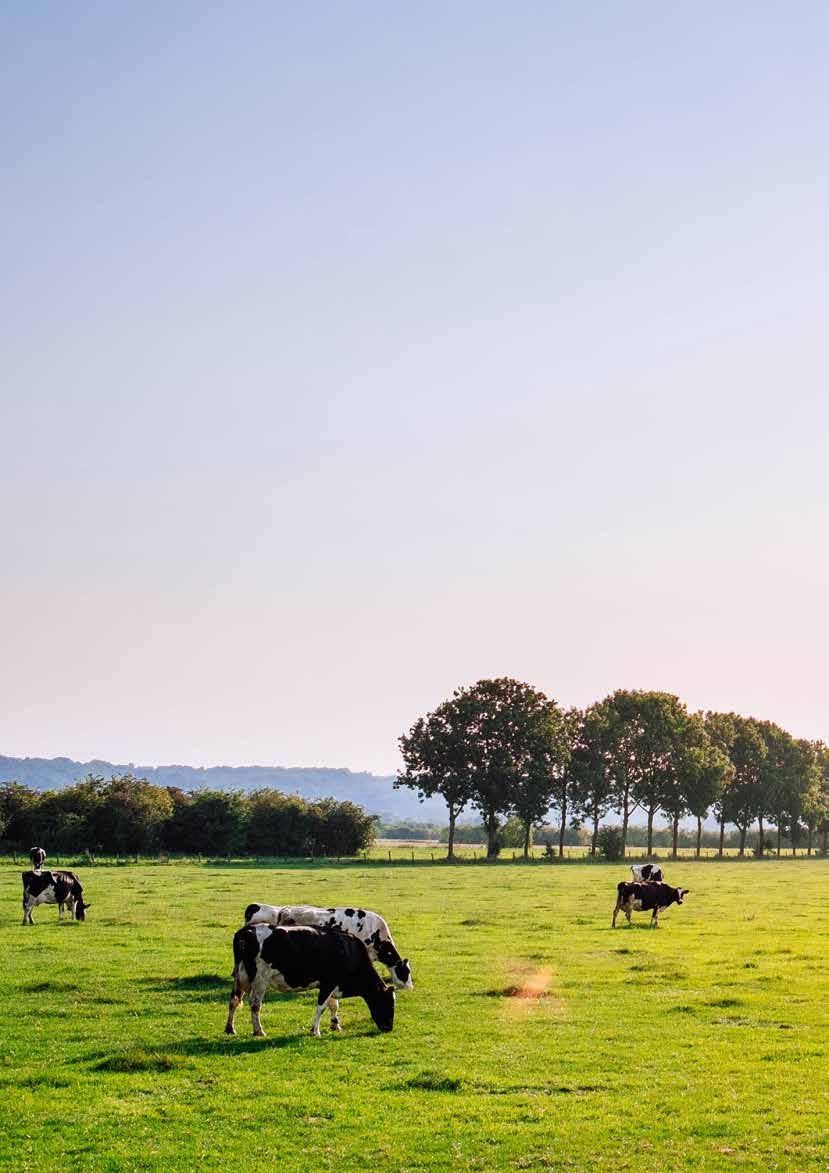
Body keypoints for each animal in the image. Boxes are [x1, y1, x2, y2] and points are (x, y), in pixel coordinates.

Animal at [225, 924, 396, 1036]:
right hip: (260, 979)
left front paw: (335, 1025)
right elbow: (321, 1007)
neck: (349, 951)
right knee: (255, 1004)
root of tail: (246, 930)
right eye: (387, 1002)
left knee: (234, 1000)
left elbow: (333, 1005)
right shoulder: (328, 983)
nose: (389, 1027)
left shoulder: (331, 985)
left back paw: (230, 1029)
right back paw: (259, 1030)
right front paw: (315, 1031)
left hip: (239, 977)